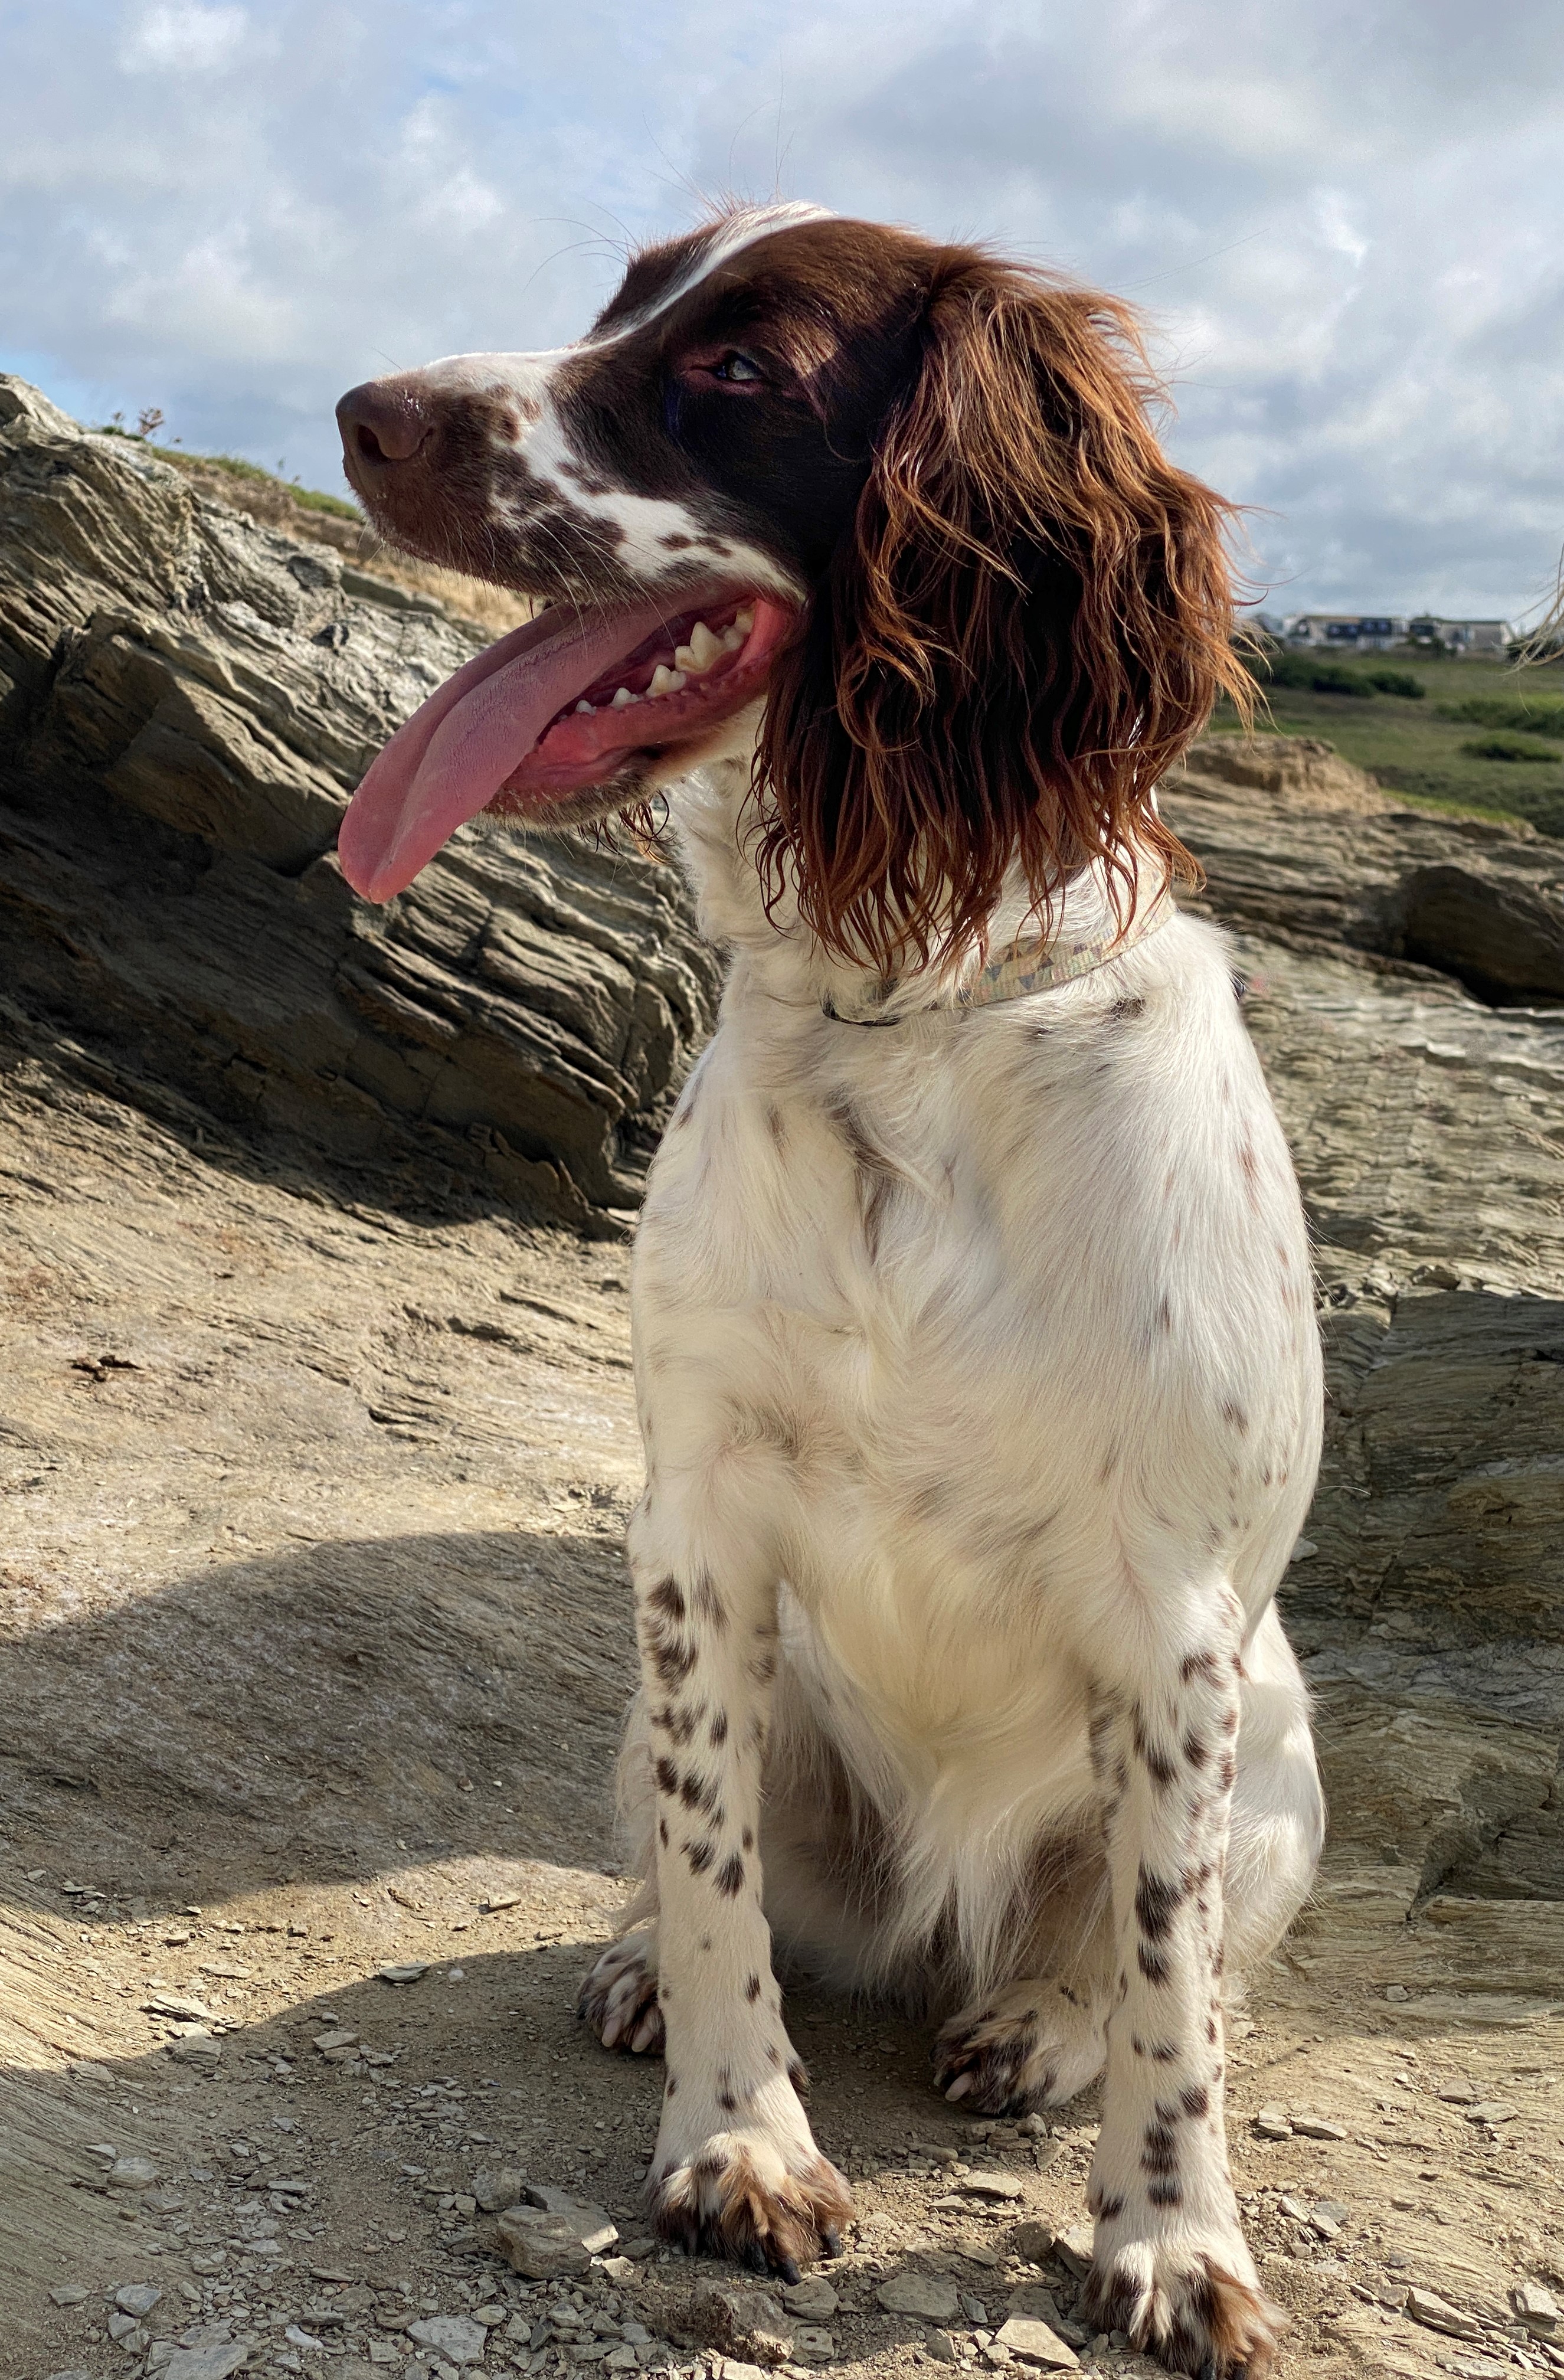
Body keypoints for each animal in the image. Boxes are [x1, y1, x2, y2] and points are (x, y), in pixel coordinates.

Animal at [335, 204, 1323, 2380]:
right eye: (620, 304)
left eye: (734, 370)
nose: (362, 409)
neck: (919, 1011)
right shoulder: (696, 1525)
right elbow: (718, 1878)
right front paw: (738, 2140)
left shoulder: (1181, 1629)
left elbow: (1169, 1982)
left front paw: (1172, 2238)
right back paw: (641, 1972)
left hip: (1285, 1766)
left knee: (1157, 1951)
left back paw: (1031, 2028)